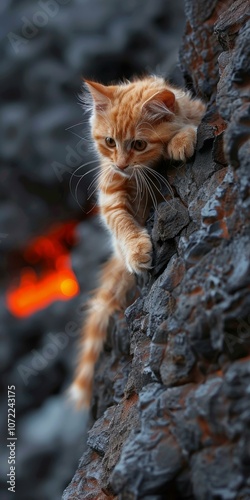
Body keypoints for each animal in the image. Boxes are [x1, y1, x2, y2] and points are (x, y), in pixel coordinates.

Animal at [70, 76, 205, 408]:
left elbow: (191, 122)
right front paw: (137, 250)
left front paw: (181, 139)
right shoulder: (109, 194)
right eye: (110, 142)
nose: (121, 164)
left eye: (139, 144)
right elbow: (122, 225)